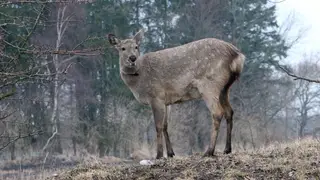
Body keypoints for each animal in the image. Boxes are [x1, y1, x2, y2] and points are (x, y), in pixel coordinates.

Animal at [107, 28, 245, 160]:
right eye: (122, 48)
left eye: (136, 47)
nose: (132, 58)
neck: (139, 80)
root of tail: (237, 55)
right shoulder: (166, 100)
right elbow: (165, 125)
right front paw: (170, 153)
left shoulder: (156, 96)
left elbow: (158, 126)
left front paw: (159, 155)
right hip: (225, 89)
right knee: (229, 111)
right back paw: (227, 149)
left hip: (210, 85)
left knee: (217, 113)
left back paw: (209, 151)